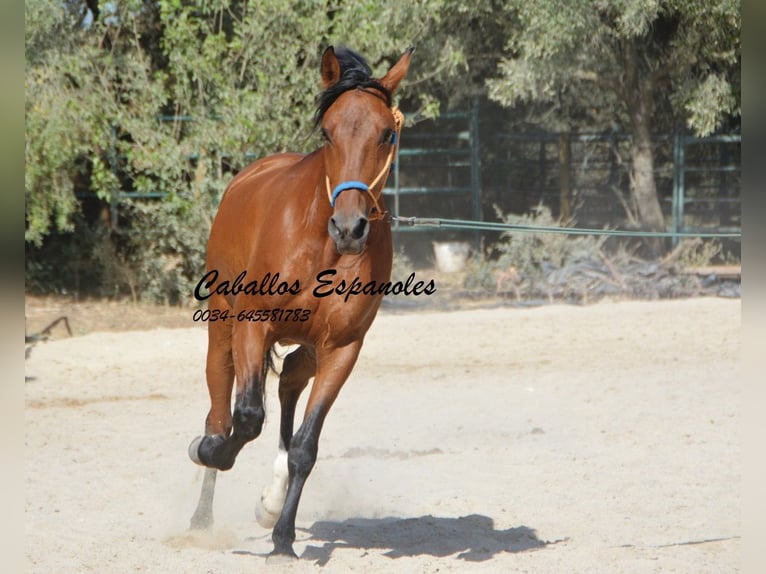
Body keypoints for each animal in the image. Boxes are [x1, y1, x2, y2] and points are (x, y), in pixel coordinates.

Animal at [187, 46, 414, 568]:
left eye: (387, 133)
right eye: (327, 132)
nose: (349, 227)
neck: (321, 247)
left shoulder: (341, 349)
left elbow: (305, 448)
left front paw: (283, 537)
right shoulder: (253, 325)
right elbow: (247, 416)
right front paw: (213, 452)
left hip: (307, 346)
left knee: (289, 382)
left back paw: (270, 501)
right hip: (223, 328)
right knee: (220, 408)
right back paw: (201, 512)